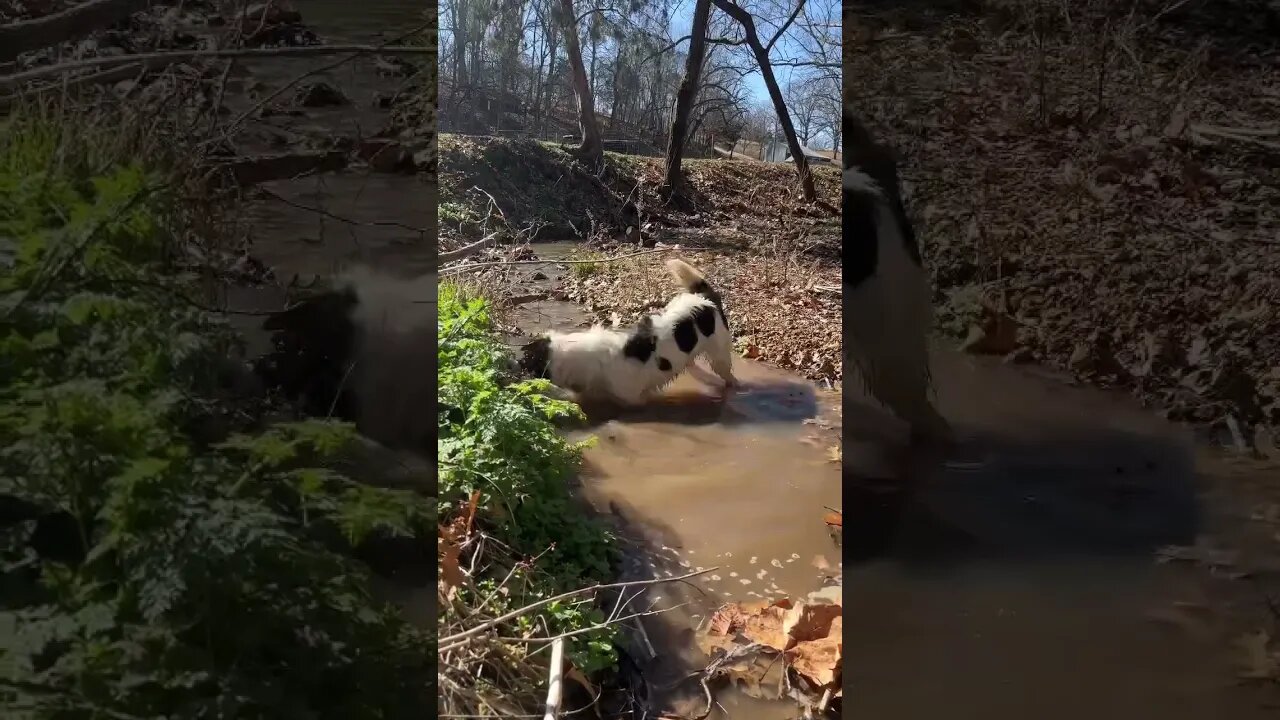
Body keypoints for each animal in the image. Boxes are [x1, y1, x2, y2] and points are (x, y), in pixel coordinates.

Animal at [519, 257, 737, 404]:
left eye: (528, 361)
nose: (515, 365)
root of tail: (704, 298)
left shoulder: (631, 398)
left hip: (720, 355)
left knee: (728, 375)